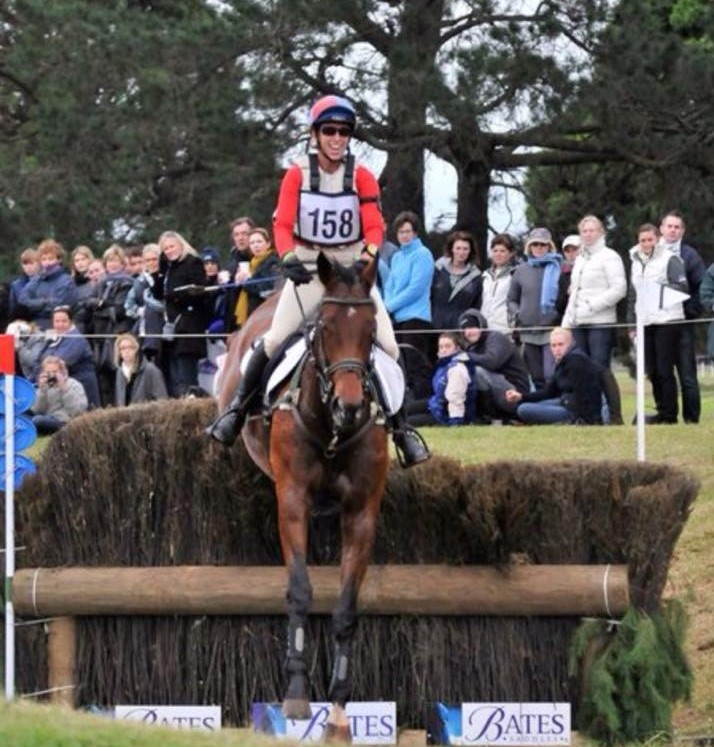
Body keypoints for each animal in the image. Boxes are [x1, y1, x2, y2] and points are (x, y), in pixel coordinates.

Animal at [216, 253, 386, 744]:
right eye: (323, 329)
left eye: (371, 331)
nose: (351, 406)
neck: (333, 429)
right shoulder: (292, 500)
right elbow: (299, 590)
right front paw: (295, 693)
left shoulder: (362, 513)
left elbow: (346, 609)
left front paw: (339, 714)